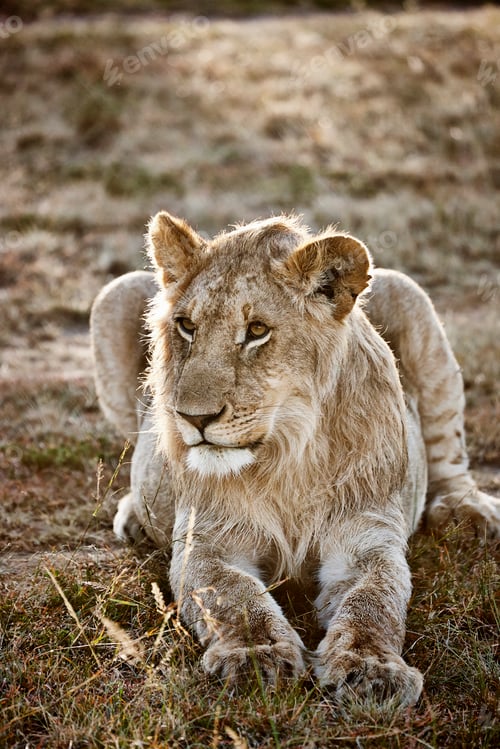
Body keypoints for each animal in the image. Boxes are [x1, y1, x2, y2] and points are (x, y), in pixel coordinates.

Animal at [91, 212, 500, 706]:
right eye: (186, 325)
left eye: (257, 331)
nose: (192, 417)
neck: (286, 457)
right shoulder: (206, 542)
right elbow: (235, 598)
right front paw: (255, 657)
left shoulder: (367, 539)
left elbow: (374, 602)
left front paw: (372, 671)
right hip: (114, 296)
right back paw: (134, 518)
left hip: (413, 301)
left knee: (450, 455)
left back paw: (468, 513)